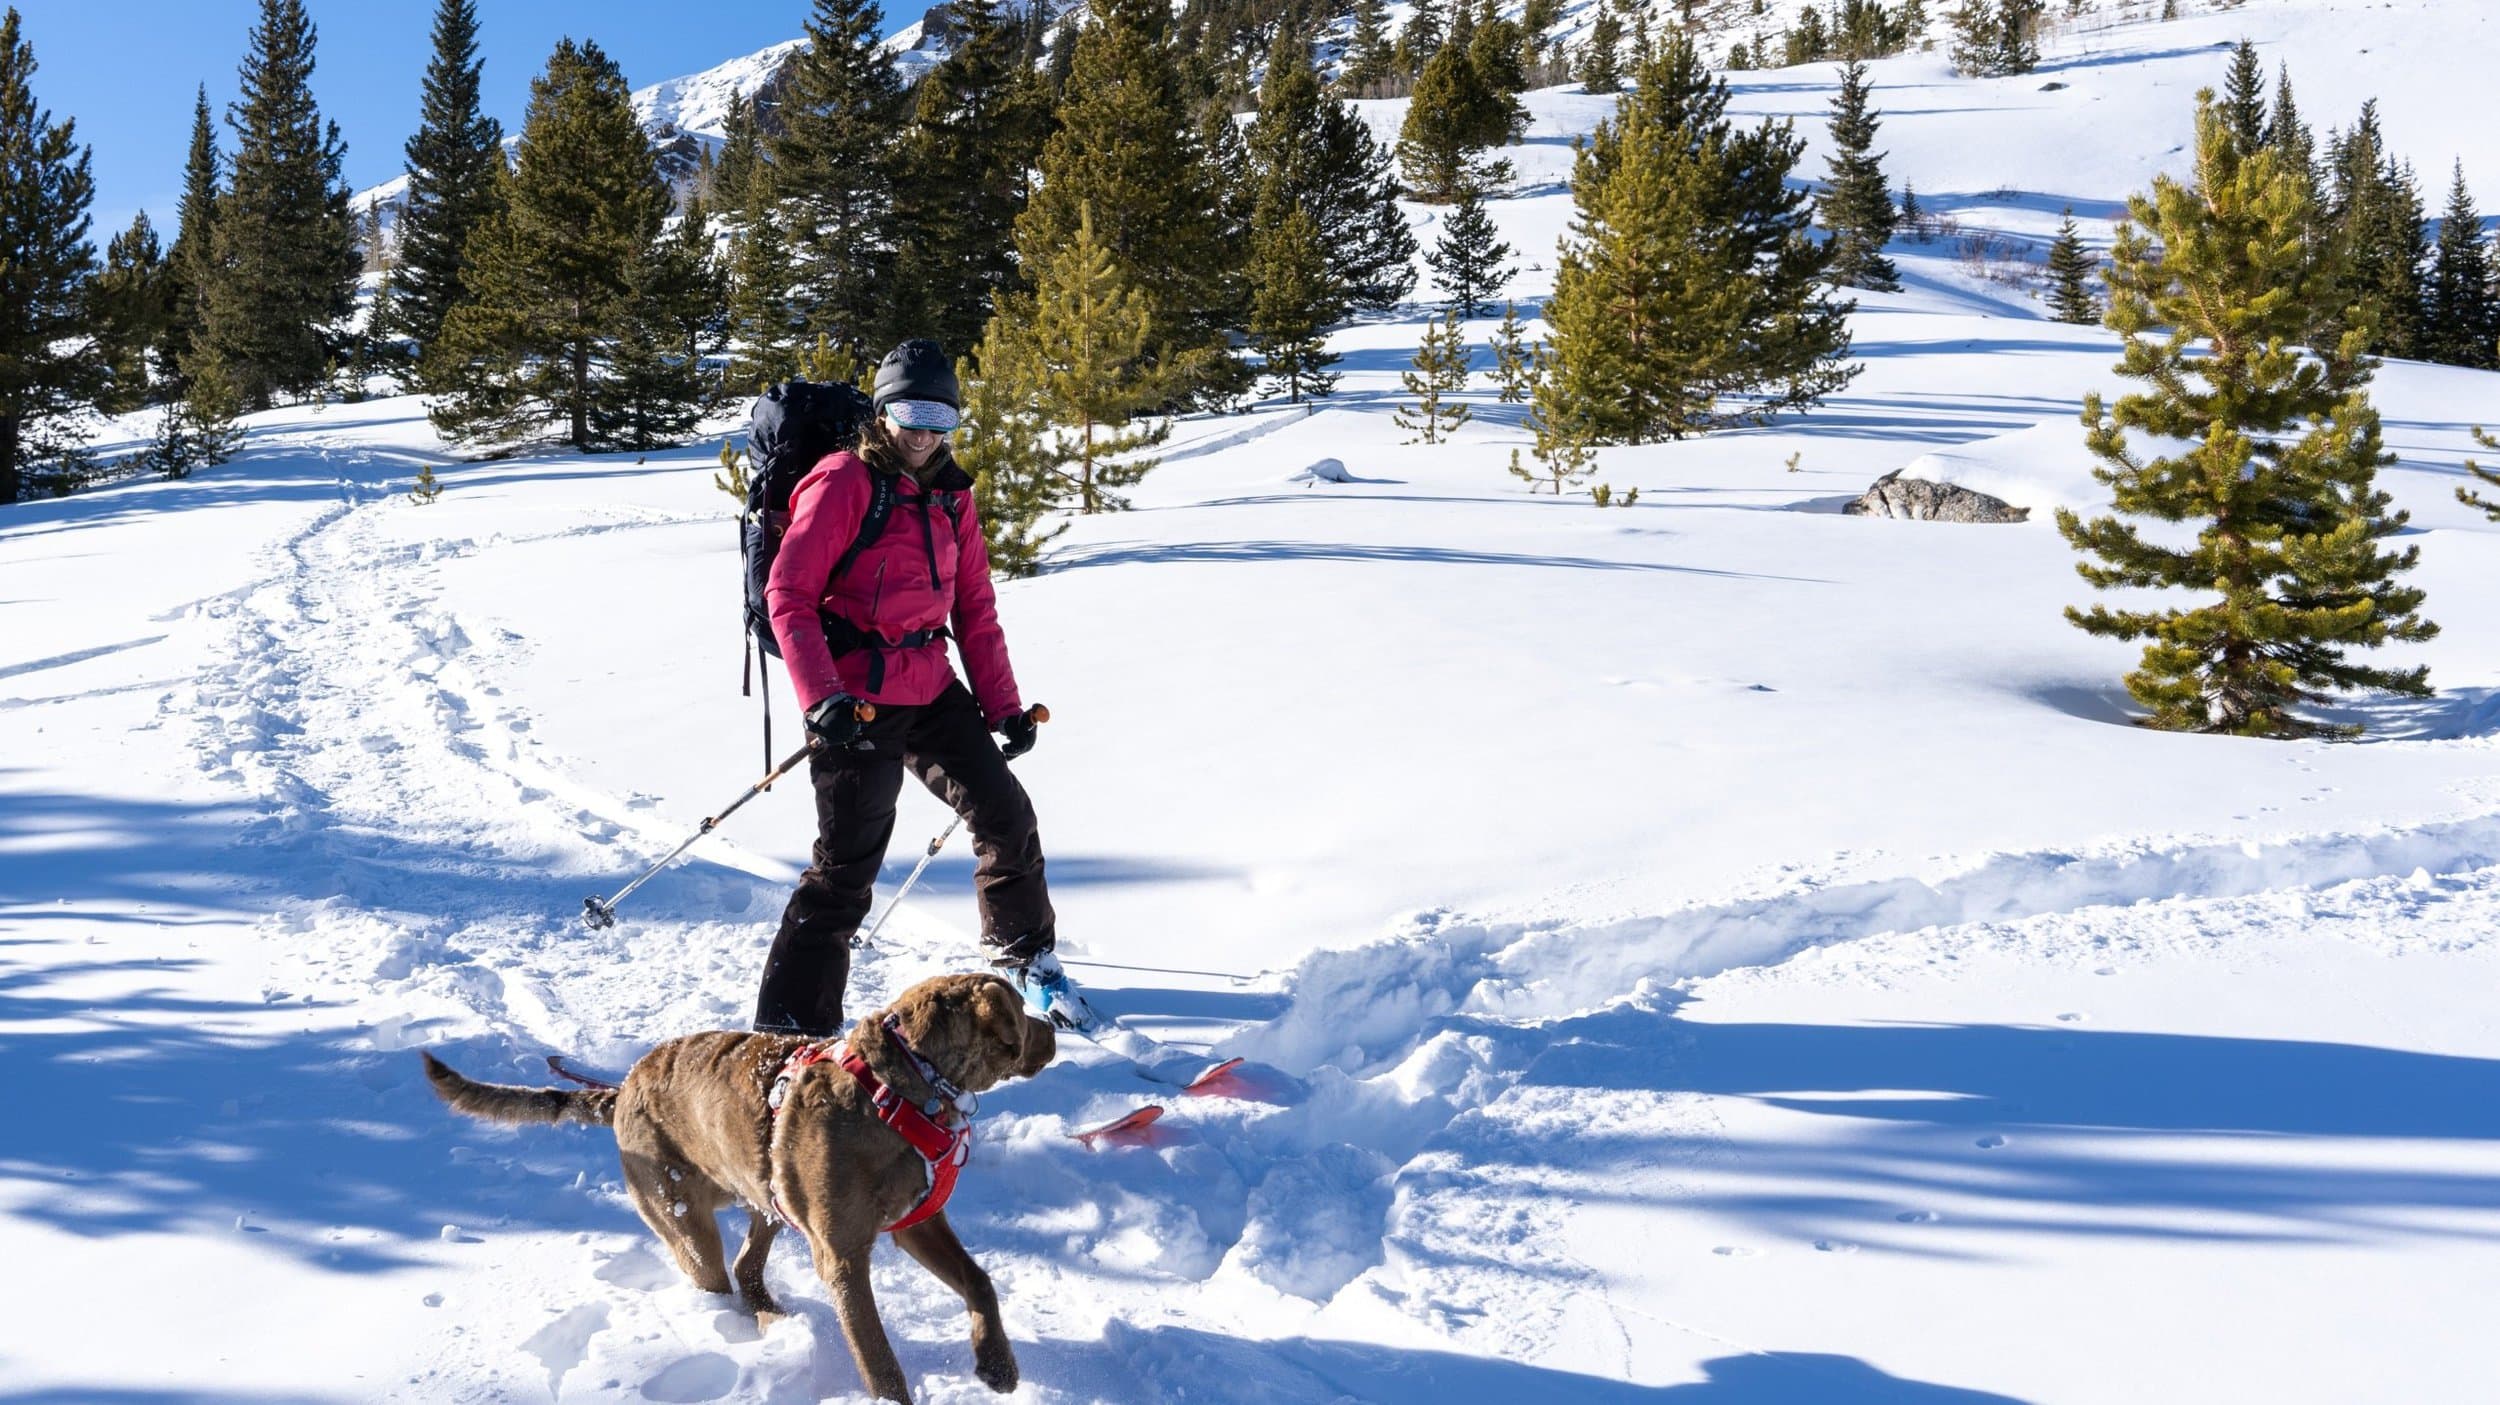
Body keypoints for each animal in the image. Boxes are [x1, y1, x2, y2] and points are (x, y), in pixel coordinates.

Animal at [425, 970, 1050, 1390]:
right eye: (1022, 1011)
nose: (1053, 1030)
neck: (899, 1089)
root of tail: (620, 1091)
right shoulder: (844, 1256)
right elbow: (879, 1361)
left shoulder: (918, 1222)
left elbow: (979, 1282)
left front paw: (997, 1365)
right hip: (683, 1218)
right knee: (717, 1275)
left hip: (765, 1193)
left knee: (749, 1266)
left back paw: (774, 1316)